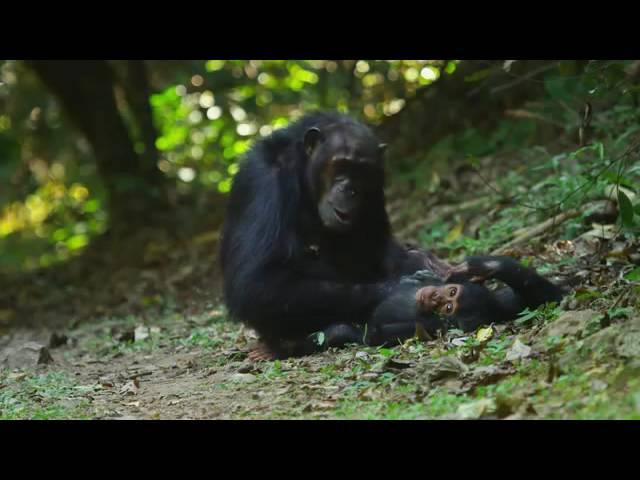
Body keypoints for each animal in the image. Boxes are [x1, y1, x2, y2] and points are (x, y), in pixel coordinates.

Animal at [220, 112, 450, 358]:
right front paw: (398, 288)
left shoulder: (377, 182)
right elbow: (255, 281)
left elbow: (378, 246)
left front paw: (425, 262)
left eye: (362, 170)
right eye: (341, 165)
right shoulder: (261, 181)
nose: (350, 189)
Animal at [276, 255, 564, 356]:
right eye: (450, 293)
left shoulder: (431, 326)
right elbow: (546, 294)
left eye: (449, 308)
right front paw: (481, 265)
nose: (436, 298)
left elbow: (376, 334)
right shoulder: (507, 302)